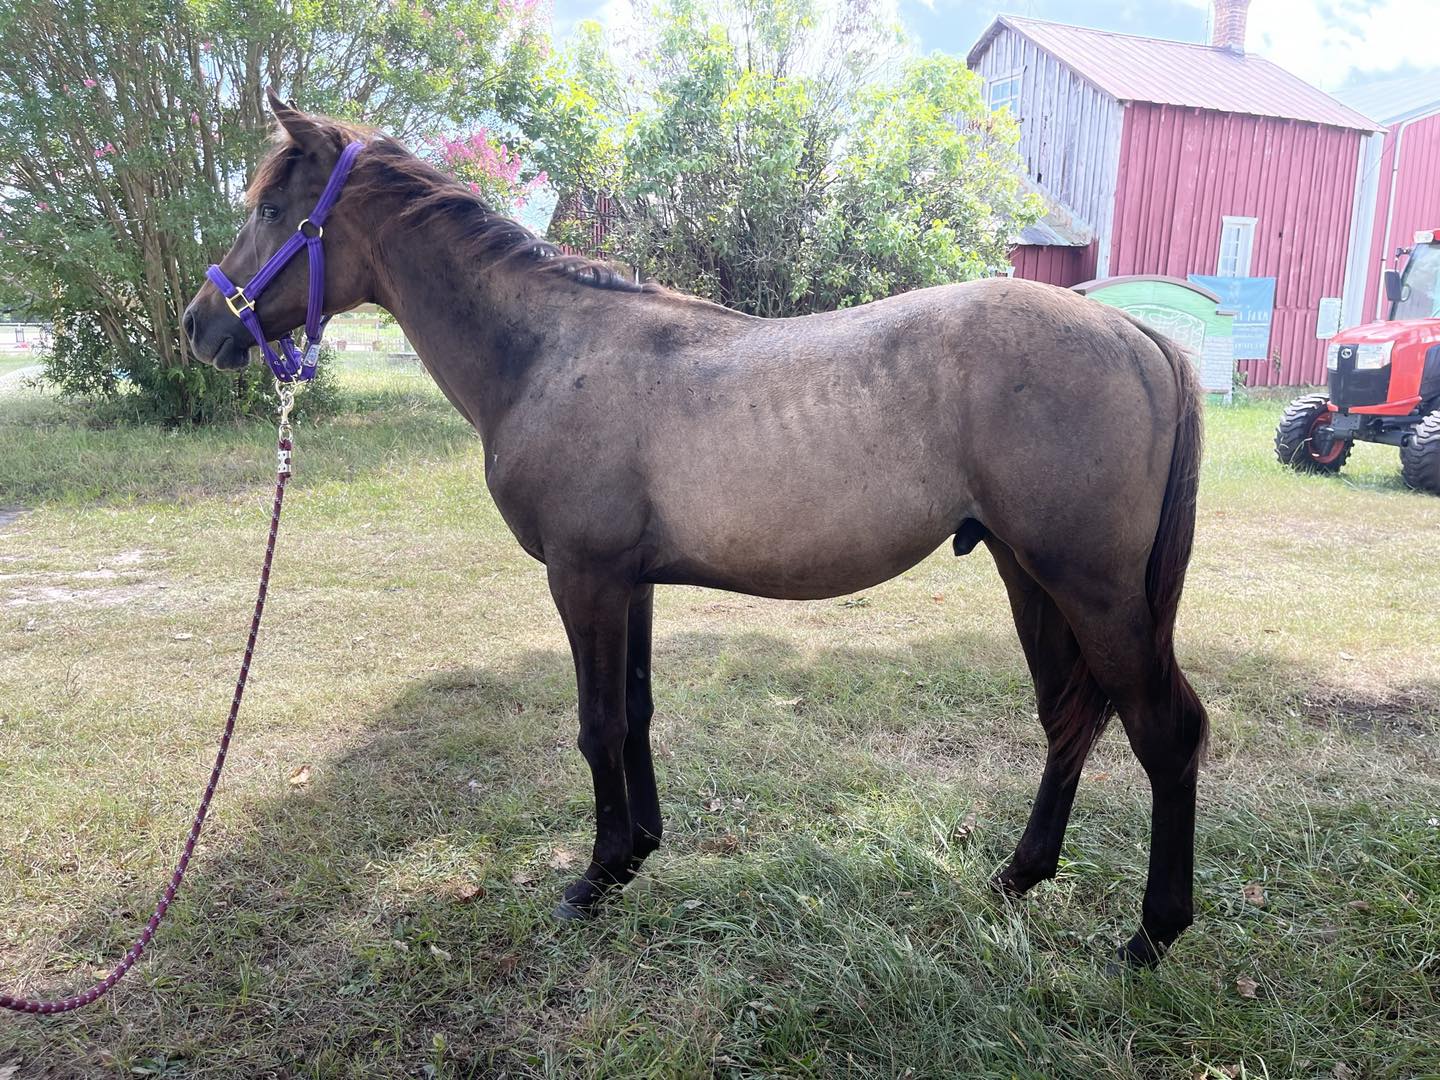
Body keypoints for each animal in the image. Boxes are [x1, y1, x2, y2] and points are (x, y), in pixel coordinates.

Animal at [184, 93, 1208, 968]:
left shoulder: (584, 578)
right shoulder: (627, 584)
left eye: (273, 207)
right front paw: (637, 851)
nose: (200, 325)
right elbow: (634, 712)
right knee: (1070, 719)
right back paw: (1017, 877)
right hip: (1031, 577)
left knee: (1165, 731)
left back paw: (1151, 935)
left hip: (1093, 591)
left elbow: (597, 722)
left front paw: (594, 879)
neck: (547, 353)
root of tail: (1138, 336)